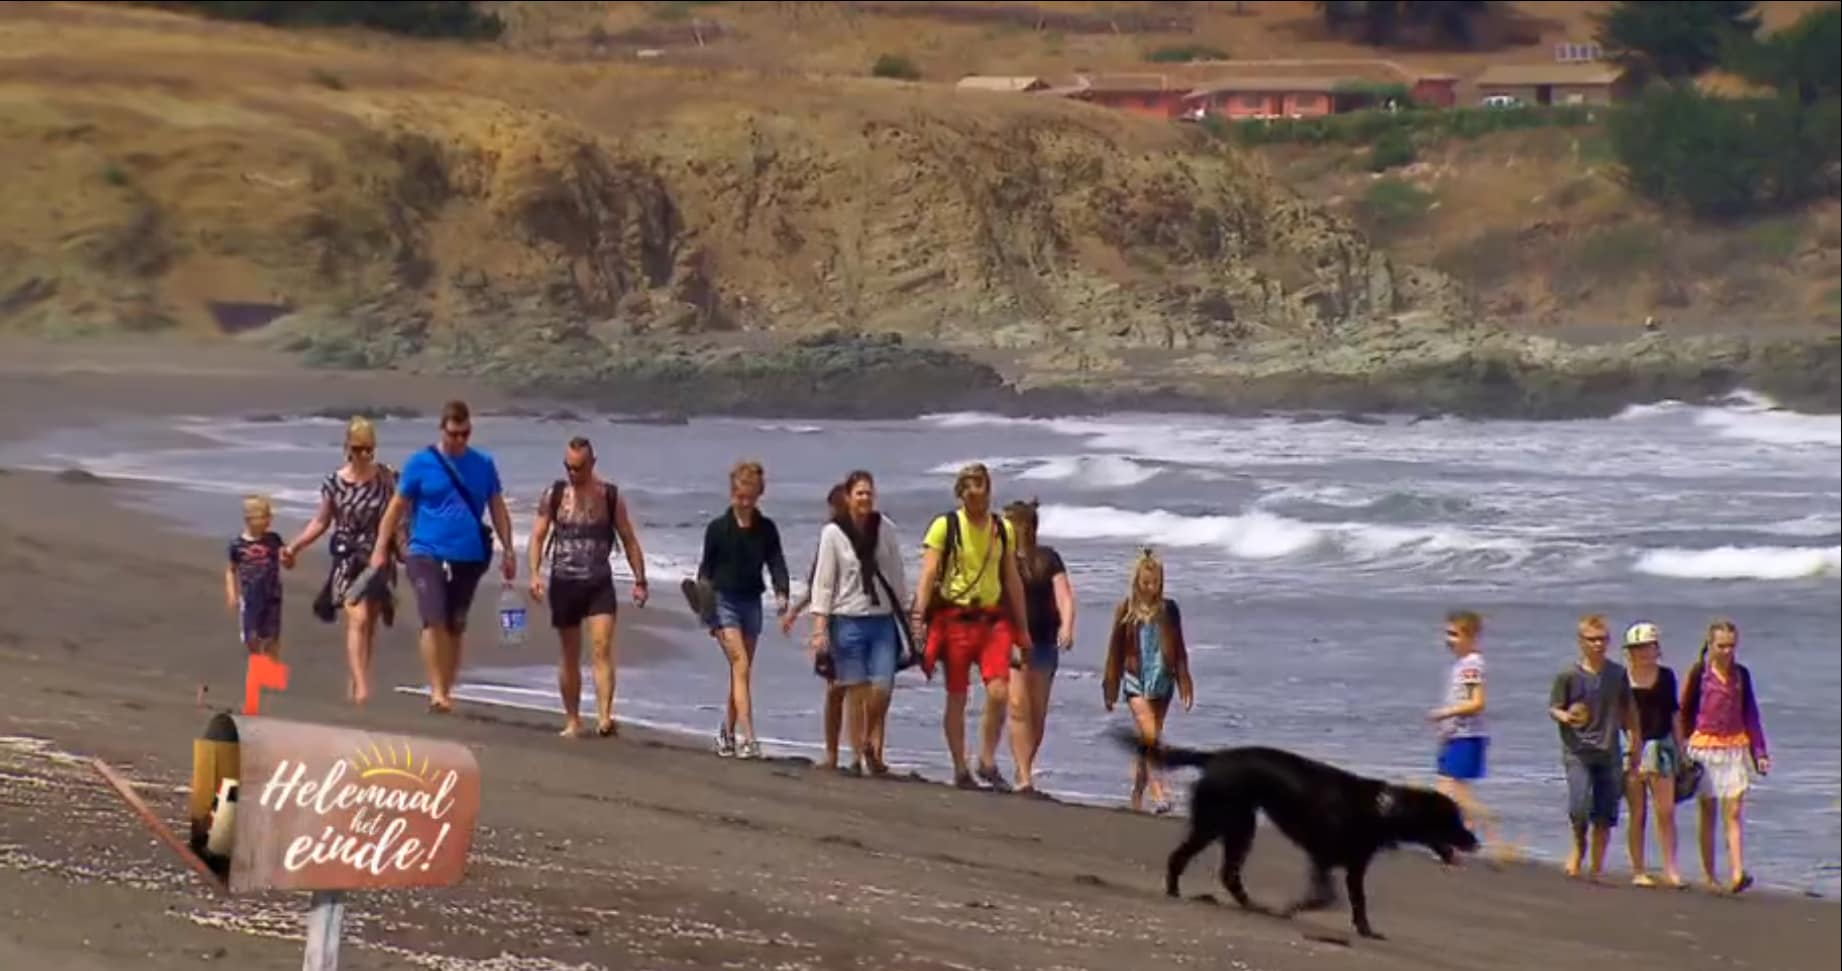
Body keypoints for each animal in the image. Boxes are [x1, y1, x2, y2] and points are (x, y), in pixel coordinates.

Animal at [1112, 737, 1473, 943]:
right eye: (1452, 821)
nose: (1475, 841)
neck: (1382, 810)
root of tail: (1214, 757)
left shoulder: (1354, 868)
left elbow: (1358, 903)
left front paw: (1367, 931)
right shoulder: (1322, 859)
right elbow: (1326, 896)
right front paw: (1293, 908)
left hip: (1236, 825)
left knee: (1226, 873)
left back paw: (1250, 905)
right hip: (1224, 822)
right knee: (1185, 858)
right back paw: (1177, 892)